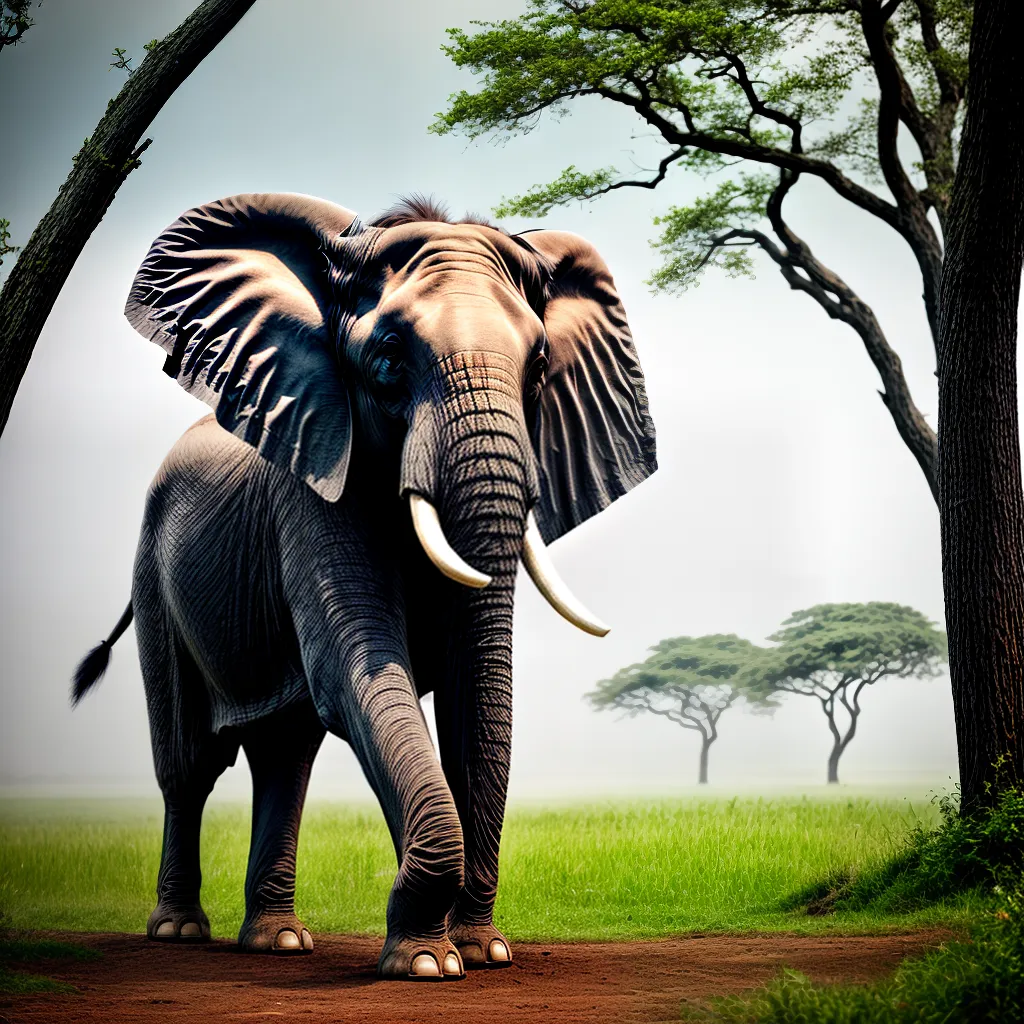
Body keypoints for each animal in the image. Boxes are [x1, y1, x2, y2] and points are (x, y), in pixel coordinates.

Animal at [72, 192, 656, 980]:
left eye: (538, 366)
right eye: (386, 361)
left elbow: (475, 689)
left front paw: (482, 952)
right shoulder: (312, 485)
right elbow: (361, 668)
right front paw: (427, 963)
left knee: (284, 757)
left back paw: (278, 940)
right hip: (153, 575)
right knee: (189, 765)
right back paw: (179, 931)